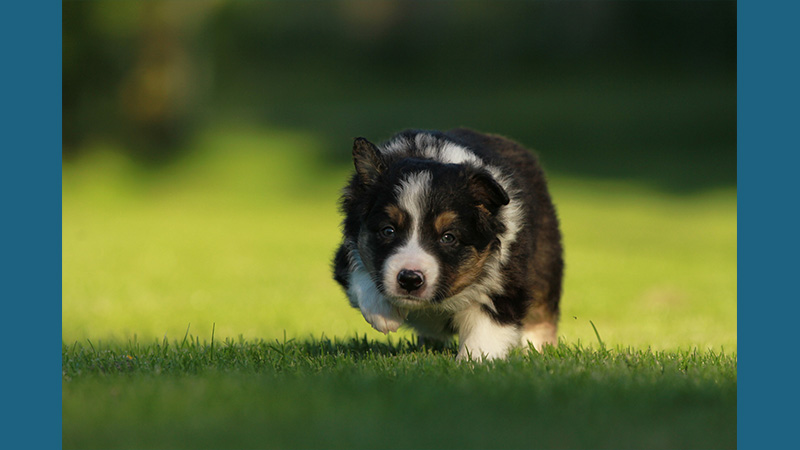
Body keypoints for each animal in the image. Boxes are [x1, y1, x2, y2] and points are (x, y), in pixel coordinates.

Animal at [332, 129, 564, 358]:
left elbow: (486, 333)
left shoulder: (505, 280)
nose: (410, 279)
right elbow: (358, 271)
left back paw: (538, 350)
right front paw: (382, 313)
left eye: (448, 237)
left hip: (546, 265)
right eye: (388, 231)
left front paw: (474, 362)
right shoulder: (345, 253)